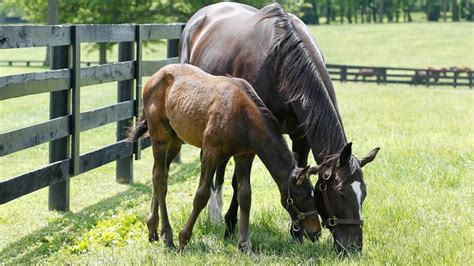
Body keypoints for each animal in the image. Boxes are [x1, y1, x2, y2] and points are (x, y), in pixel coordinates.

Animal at [129, 63, 322, 252]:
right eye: (302, 197)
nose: (316, 232)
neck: (244, 118)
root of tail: (154, 77)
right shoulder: (210, 152)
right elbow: (202, 194)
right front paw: (183, 239)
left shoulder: (245, 155)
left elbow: (245, 196)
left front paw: (245, 246)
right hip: (160, 136)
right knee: (160, 179)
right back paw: (168, 238)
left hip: (176, 141)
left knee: (158, 173)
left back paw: (152, 229)